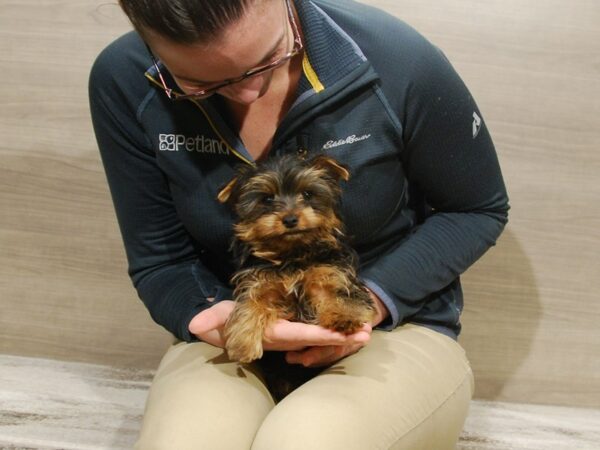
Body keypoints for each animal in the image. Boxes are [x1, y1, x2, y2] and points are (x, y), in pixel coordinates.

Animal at [216, 154, 376, 366]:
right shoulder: (259, 282)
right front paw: (242, 343)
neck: (292, 255)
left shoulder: (330, 272)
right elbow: (250, 303)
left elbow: (342, 295)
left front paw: (344, 315)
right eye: (267, 199)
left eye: (308, 194)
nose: (290, 219)